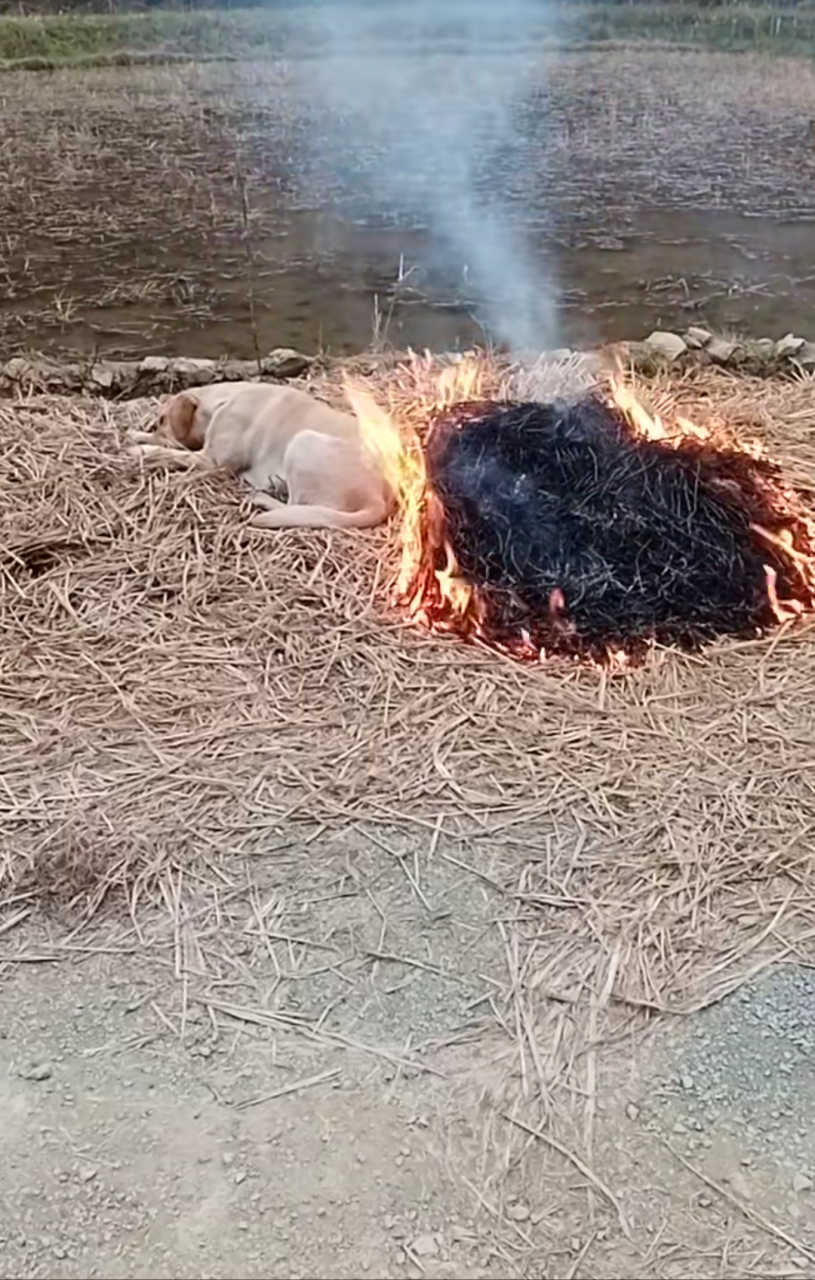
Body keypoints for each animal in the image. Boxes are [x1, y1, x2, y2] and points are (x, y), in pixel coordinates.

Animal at [127, 376, 394, 527]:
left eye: (162, 420)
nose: (154, 425)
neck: (224, 400)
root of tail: (377, 498)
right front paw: (135, 435)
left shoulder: (212, 462)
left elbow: (169, 452)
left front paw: (140, 449)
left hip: (303, 442)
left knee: (293, 505)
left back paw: (262, 498)